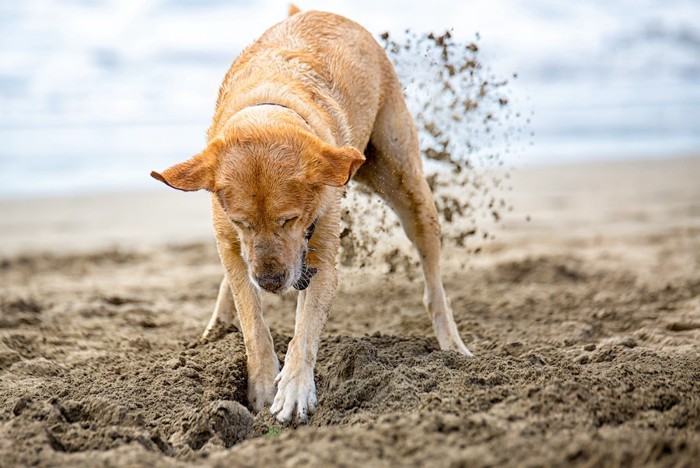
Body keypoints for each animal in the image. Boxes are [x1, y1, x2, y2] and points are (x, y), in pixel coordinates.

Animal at [152, 5, 470, 422]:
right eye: (241, 221)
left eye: (289, 219)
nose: (271, 282)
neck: (271, 101)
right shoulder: (233, 242)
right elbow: (252, 320)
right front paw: (260, 384)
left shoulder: (320, 256)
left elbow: (304, 331)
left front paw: (294, 388)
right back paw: (216, 329)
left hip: (407, 185)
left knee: (433, 282)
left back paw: (452, 345)